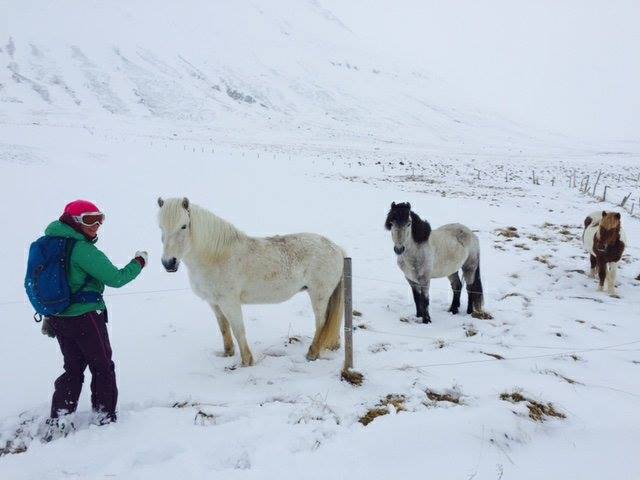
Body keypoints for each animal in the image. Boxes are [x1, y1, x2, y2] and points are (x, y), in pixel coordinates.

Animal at [157, 197, 345, 366]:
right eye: (160, 227)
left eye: (183, 226)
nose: (169, 263)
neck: (216, 257)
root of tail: (336, 248)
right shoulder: (215, 303)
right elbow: (224, 328)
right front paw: (227, 354)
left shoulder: (230, 302)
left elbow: (238, 330)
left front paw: (246, 362)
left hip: (319, 295)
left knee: (321, 322)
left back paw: (312, 354)